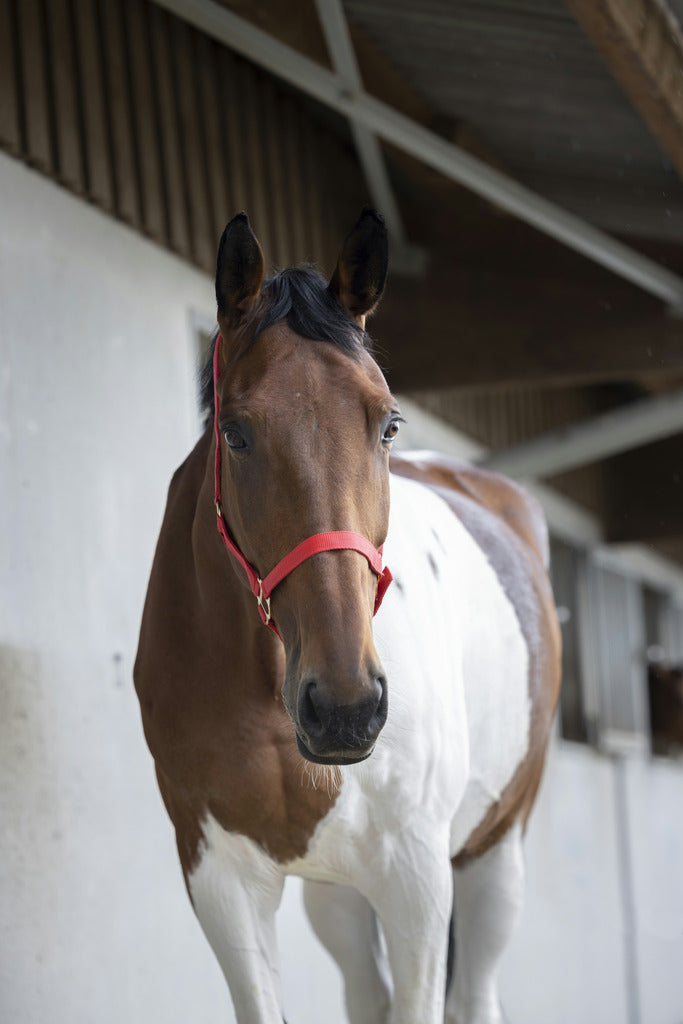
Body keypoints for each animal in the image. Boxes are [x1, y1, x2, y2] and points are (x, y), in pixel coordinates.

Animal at [133, 209, 561, 1024]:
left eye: (387, 425)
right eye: (236, 433)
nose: (344, 708)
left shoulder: (416, 879)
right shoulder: (220, 880)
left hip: (494, 857)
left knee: (475, 993)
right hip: (337, 893)